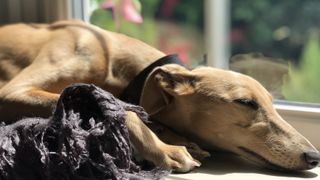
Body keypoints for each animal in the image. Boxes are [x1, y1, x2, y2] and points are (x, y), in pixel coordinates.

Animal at [0, 19, 318, 172]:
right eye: (246, 103)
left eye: (272, 104)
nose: (313, 156)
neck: (115, 59)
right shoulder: (12, 93)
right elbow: (121, 108)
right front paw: (166, 148)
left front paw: (179, 139)